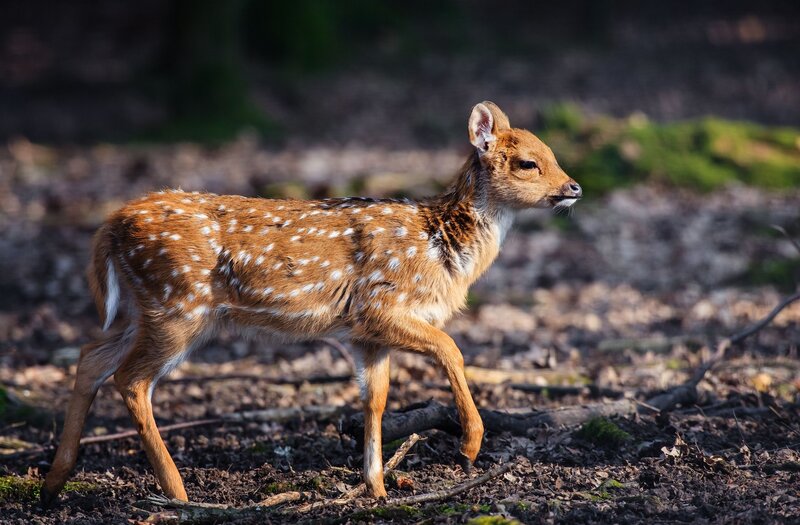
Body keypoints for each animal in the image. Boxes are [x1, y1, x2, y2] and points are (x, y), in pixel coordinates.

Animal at [40, 101, 581, 505]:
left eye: (553, 154)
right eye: (528, 162)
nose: (573, 187)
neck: (442, 247)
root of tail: (111, 225)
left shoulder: (367, 337)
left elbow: (375, 399)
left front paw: (377, 489)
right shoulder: (380, 306)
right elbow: (452, 347)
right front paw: (469, 444)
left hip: (141, 309)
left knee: (90, 358)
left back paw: (53, 483)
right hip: (178, 307)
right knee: (130, 380)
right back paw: (177, 493)